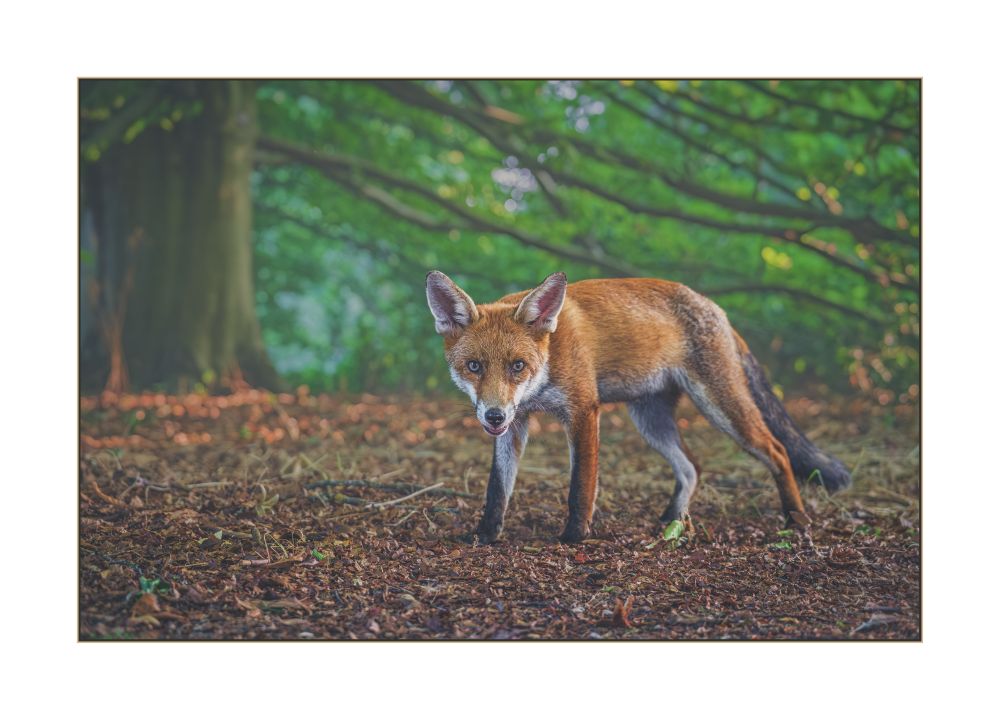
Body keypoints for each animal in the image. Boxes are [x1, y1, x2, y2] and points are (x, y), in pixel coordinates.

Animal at [425, 270, 851, 544]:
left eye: (518, 366)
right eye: (474, 366)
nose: (493, 415)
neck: (551, 356)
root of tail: (715, 307)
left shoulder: (583, 410)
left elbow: (581, 486)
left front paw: (573, 538)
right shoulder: (517, 423)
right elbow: (498, 489)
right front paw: (484, 535)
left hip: (721, 408)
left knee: (778, 451)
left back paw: (795, 520)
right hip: (649, 419)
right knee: (692, 467)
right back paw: (674, 521)